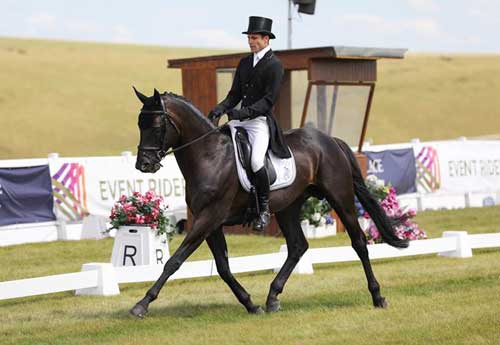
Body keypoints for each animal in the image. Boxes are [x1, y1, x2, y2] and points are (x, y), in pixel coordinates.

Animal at [129, 88, 406, 318]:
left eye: (156, 125)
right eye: (139, 124)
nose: (143, 164)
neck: (210, 155)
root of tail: (329, 140)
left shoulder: (209, 217)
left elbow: (175, 261)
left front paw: (141, 305)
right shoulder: (209, 221)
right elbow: (223, 267)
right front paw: (251, 304)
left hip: (341, 197)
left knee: (358, 242)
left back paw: (377, 297)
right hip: (287, 207)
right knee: (298, 246)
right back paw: (273, 298)